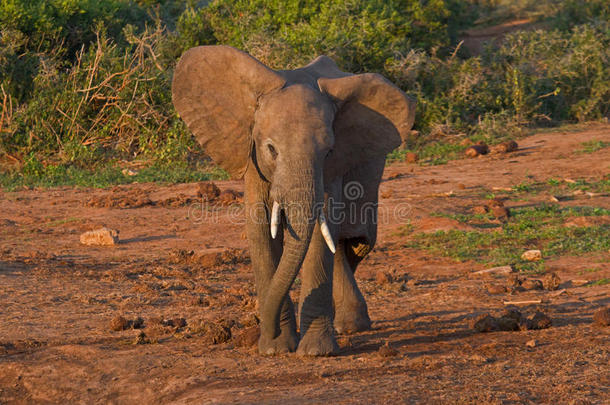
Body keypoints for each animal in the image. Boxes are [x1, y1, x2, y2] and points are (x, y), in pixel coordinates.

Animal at [173, 45, 416, 356]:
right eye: (271, 149)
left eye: (328, 151)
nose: (267, 329)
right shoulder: (253, 159)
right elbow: (261, 229)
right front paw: (275, 349)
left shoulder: (333, 166)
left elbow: (321, 232)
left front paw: (314, 352)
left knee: (356, 240)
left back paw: (349, 326)